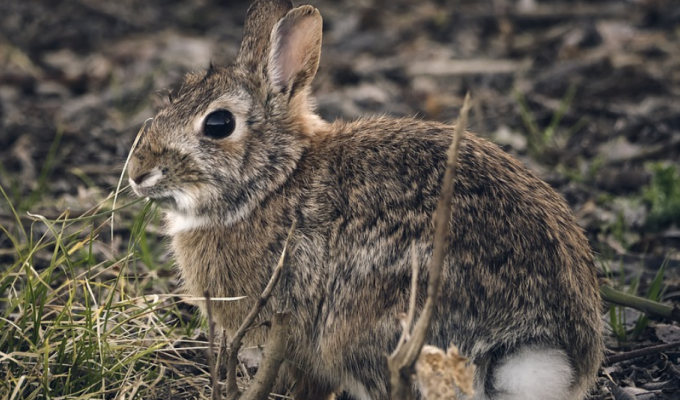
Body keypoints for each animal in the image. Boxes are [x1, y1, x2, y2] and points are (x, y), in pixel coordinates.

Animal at [126, 0, 600, 400]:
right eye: (176, 95)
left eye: (219, 124)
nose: (137, 173)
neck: (275, 181)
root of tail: (532, 346)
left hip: (372, 327)